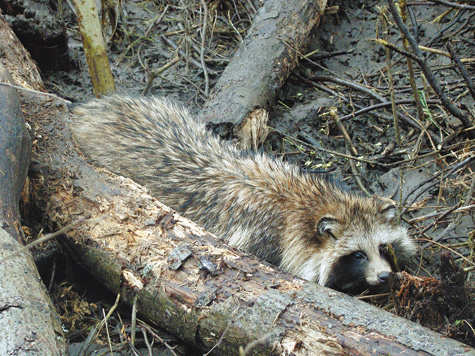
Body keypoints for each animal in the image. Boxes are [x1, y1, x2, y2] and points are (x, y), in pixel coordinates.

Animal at [71, 96, 416, 294]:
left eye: (382, 247)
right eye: (357, 254)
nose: (385, 276)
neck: (305, 206)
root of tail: (86, 110)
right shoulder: (262, 241)